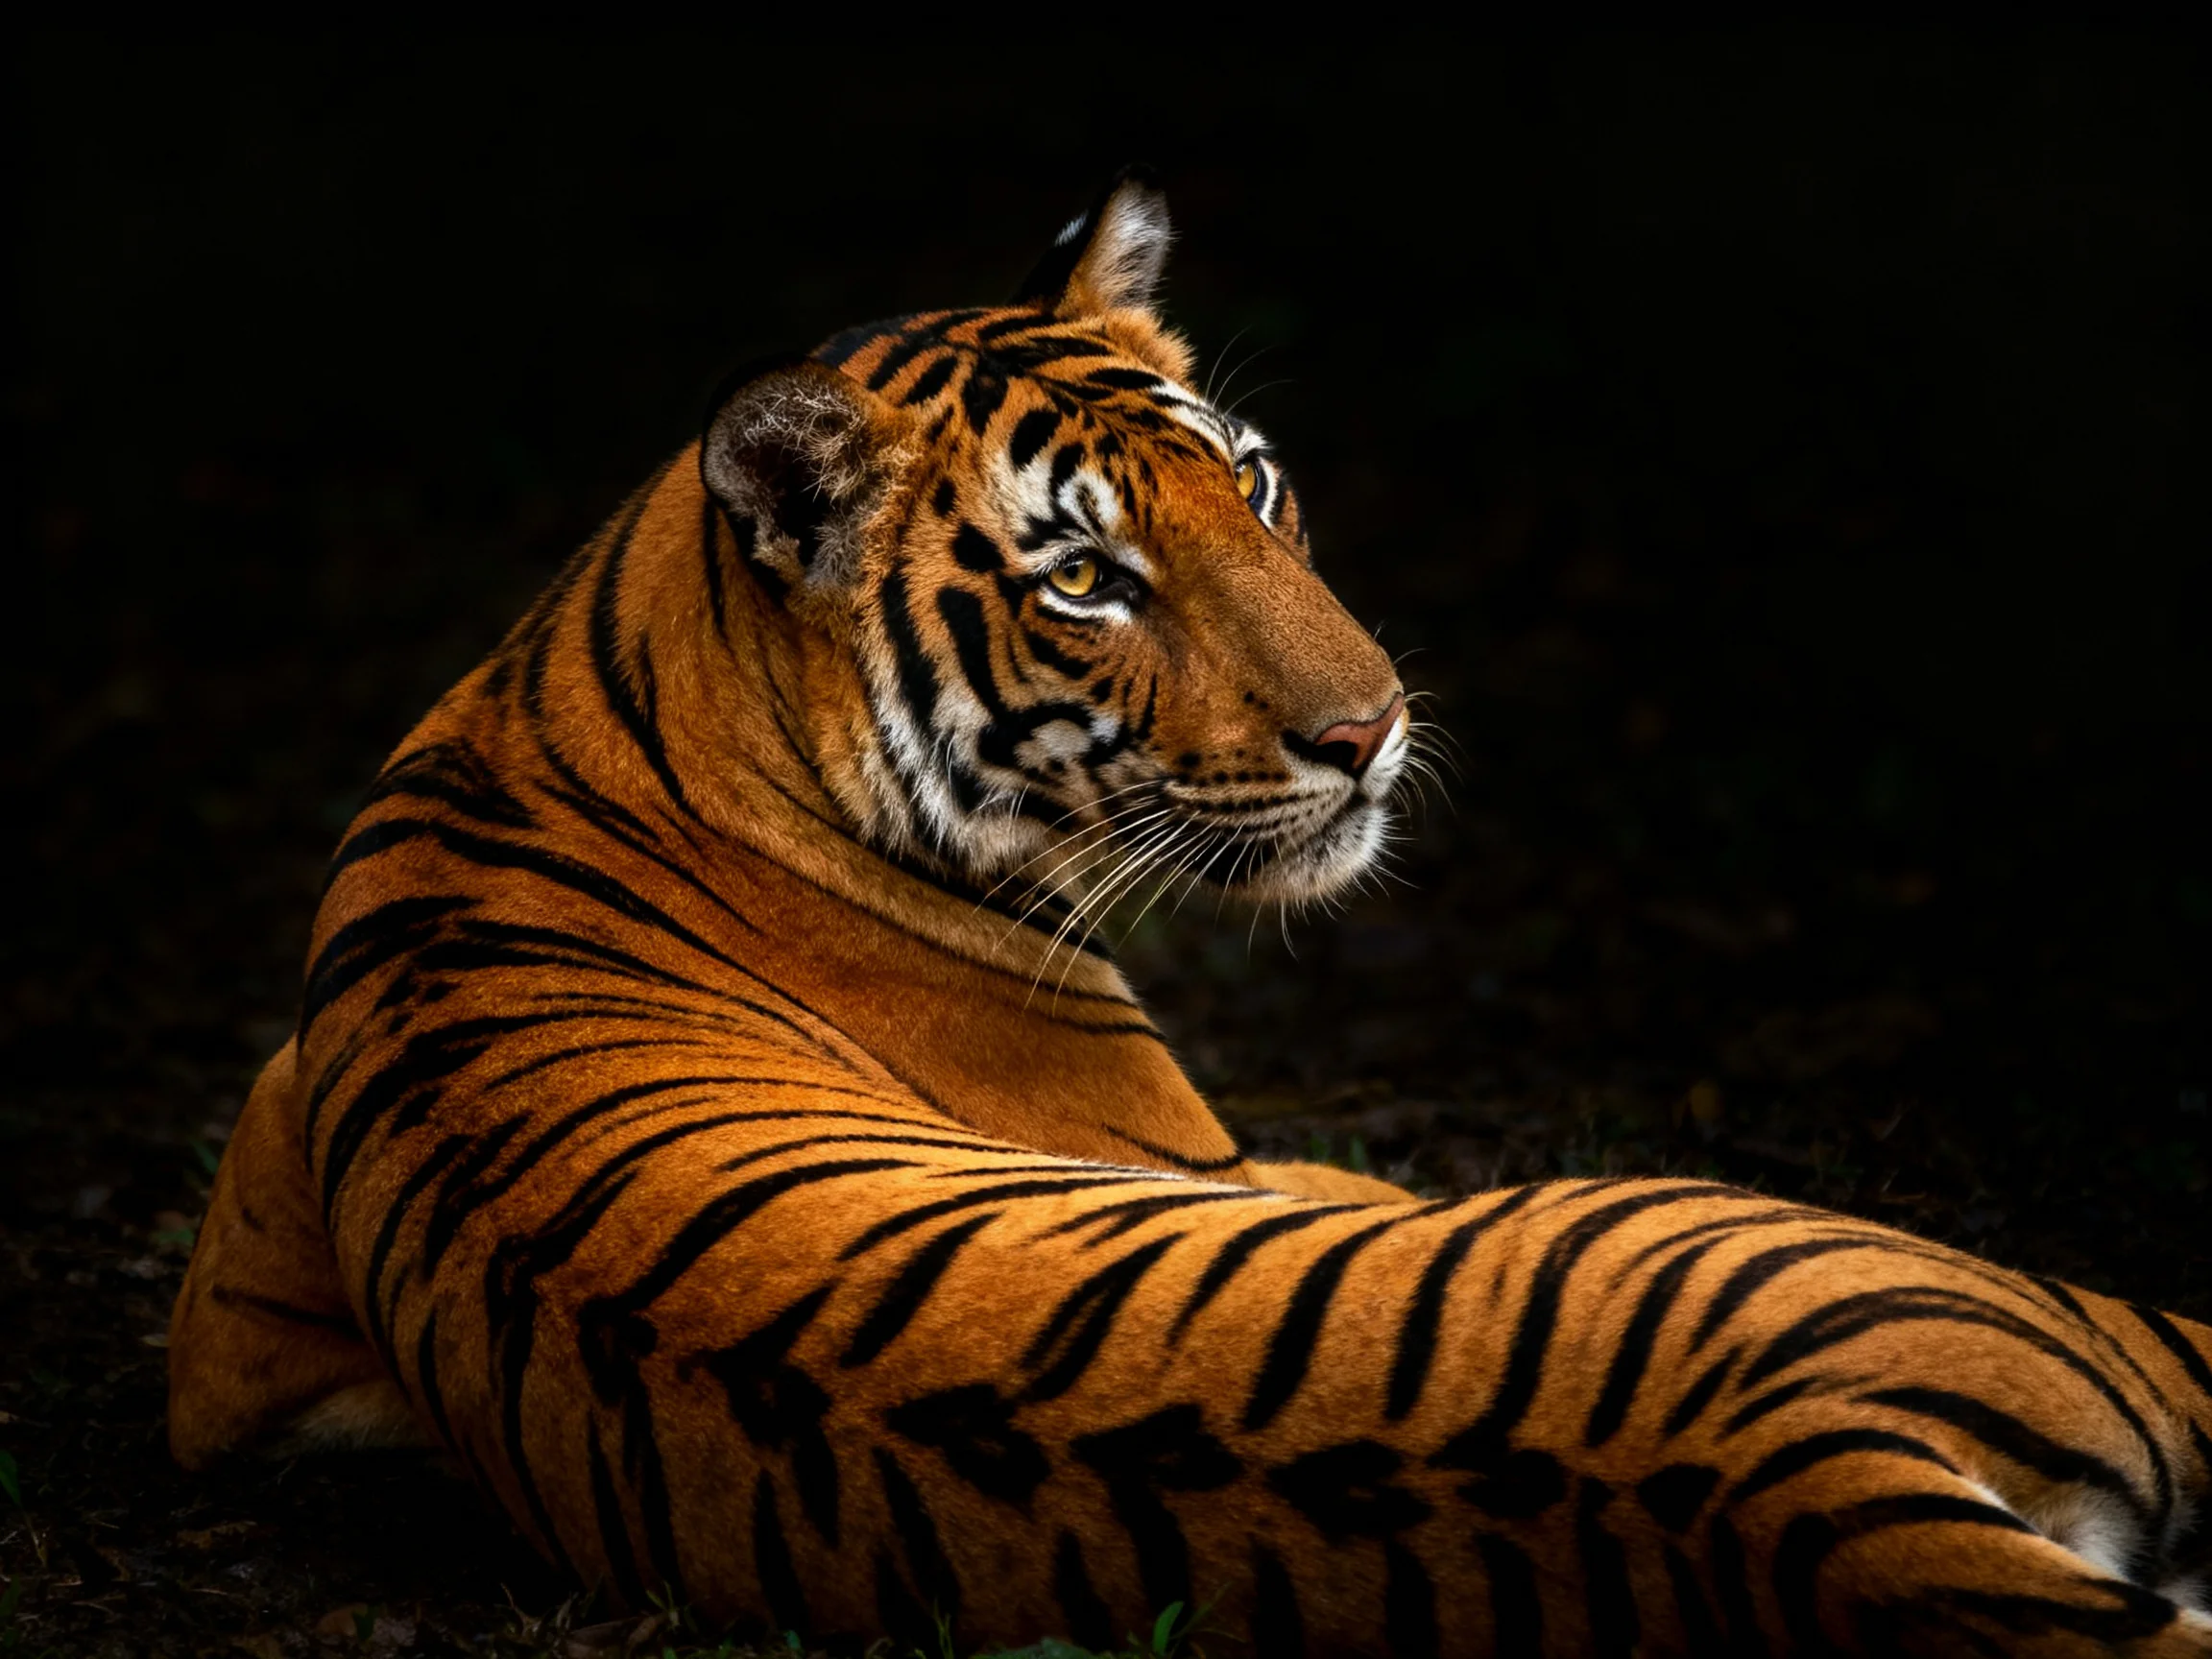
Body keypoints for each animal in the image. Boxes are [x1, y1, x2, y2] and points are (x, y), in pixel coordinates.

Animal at [167, 170, 2212, 1656]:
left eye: (1249, 482)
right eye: (1085, 578)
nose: (1369, 728)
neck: (601, 675)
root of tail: (1785, 1476)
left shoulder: (236, 1312)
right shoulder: (1233, 1152)